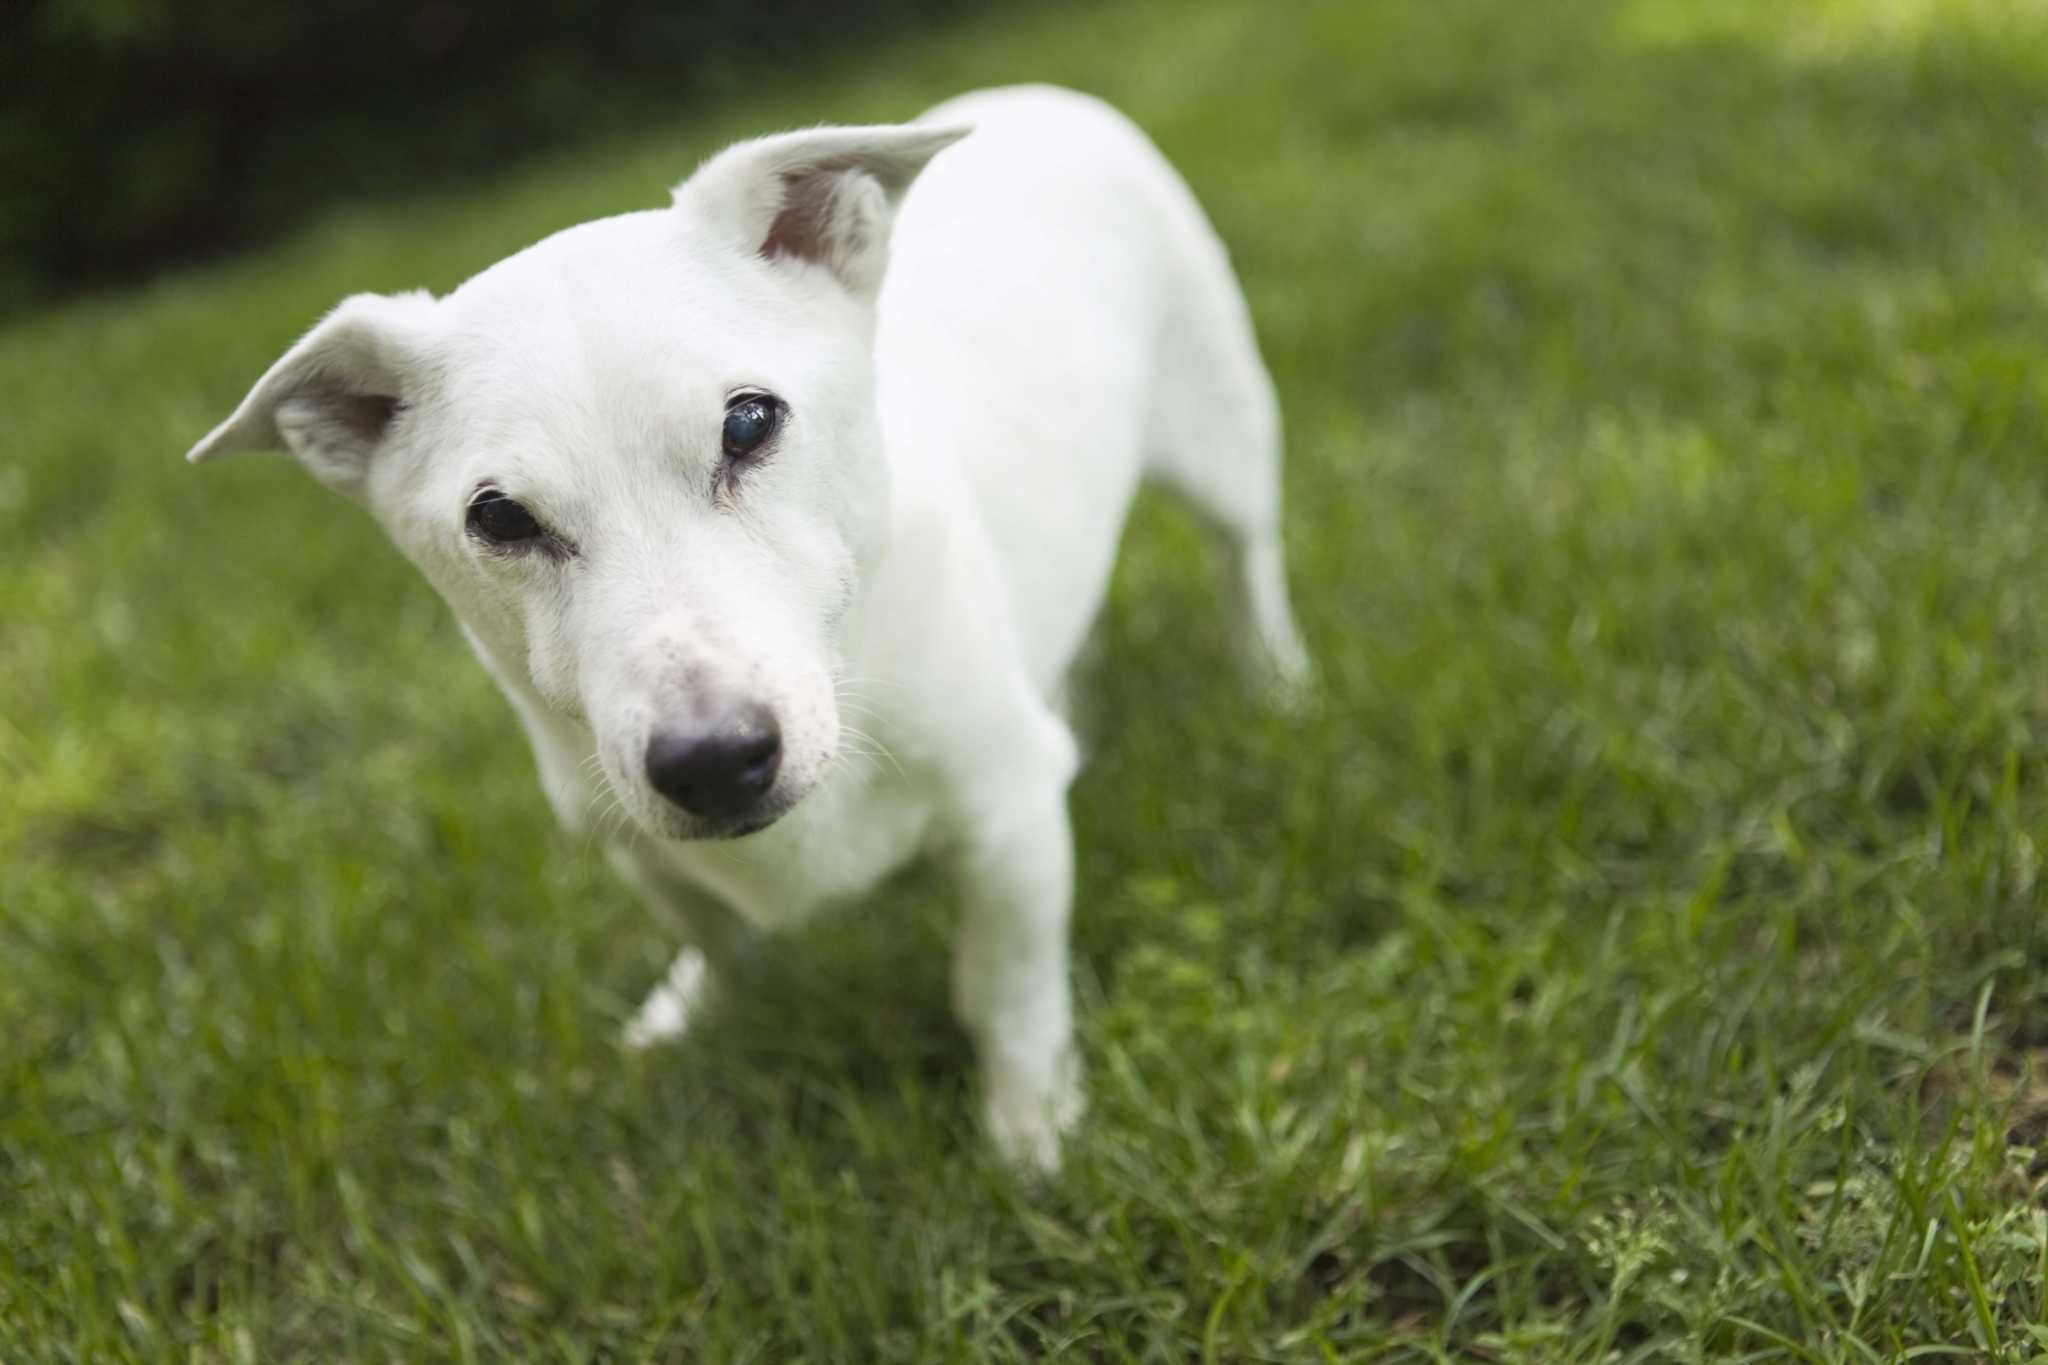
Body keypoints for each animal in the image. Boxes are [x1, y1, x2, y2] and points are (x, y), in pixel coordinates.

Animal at [192, 87, 1310, 1178]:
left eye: (748, 423)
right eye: (499, 518)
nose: (712, 760)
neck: (849, 660)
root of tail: (1036, 95)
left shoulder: (1005, 821)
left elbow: (1007, 989)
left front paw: (1029, 1136)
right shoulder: (629, 835)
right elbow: (714, 932)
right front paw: (693, 1008)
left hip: (1222, 440)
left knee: (1243, 556)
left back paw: (1274, 683)